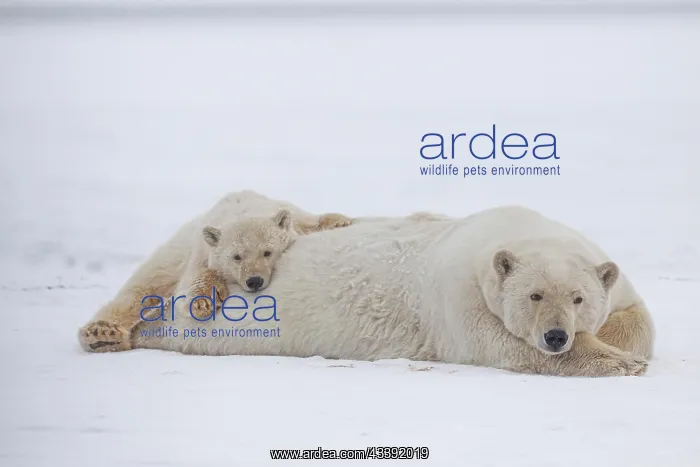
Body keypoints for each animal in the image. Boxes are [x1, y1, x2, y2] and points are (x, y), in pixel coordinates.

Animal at [78, 190, 353, 353]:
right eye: (236, 256)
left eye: (268, 252)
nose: (254, 281)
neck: (244, 210)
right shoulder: (202, 250)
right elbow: (193, 283)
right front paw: (203, 303)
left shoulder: (290, 215)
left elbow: (306, 221)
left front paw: (337, 221)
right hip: (170, 257)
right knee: (139, 290)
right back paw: (101, 333)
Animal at [120, 200, 654, 377]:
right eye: (534, 296)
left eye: (578, 298)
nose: (556, 336)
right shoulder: (458, 298)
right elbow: (504, 345)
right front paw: (619, 362)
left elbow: (639, 319)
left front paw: (621, 347)